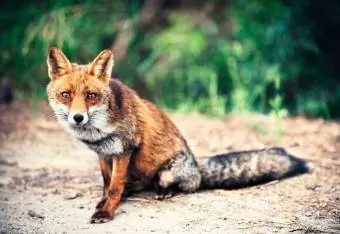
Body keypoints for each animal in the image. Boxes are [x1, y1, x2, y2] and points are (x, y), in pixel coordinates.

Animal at [46, 46, 310, 224]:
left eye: (91, 96)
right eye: (66, 95)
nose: (77, 118)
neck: (98, 130)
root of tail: (197, 166)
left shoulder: (124, 149)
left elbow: (114, 186)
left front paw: (106, 211)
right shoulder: (103, 152)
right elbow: (107, 182)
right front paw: (104, 202)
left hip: (167, 173)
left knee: (179, 185)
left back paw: (164, 192)